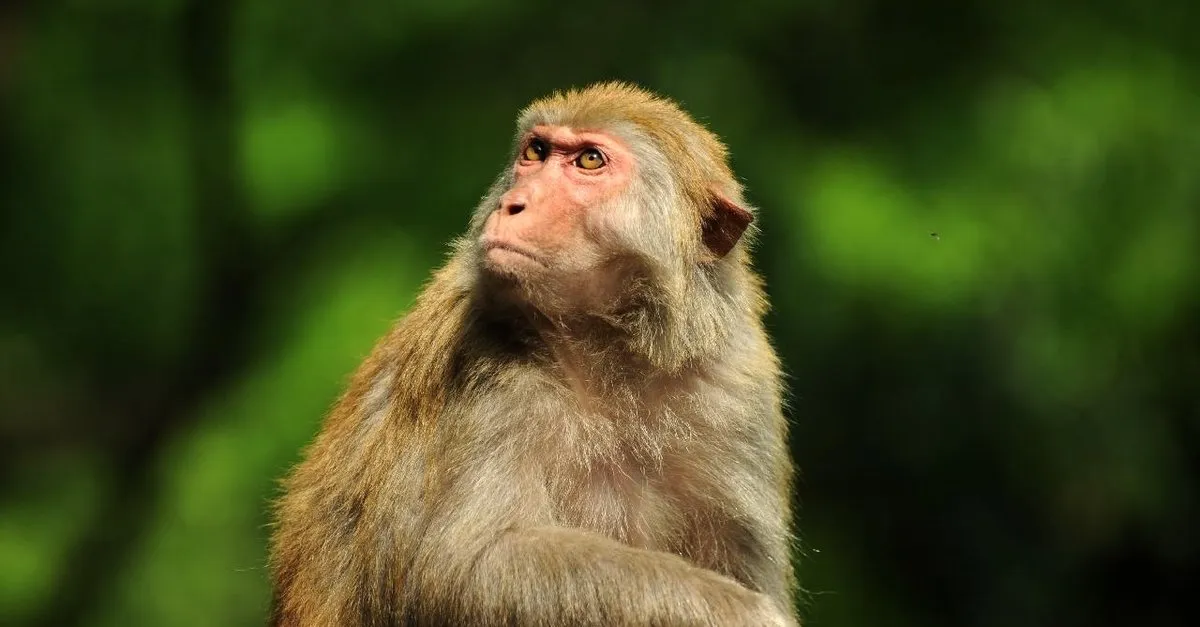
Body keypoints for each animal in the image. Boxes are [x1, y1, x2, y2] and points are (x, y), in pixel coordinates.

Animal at [271, 82, 796, 624]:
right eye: (536, 152)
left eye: (589, 160)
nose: (513, 203)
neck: (617, 352)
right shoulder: (489, 363)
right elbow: (463, 564)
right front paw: (743, 612)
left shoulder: (737, 386)